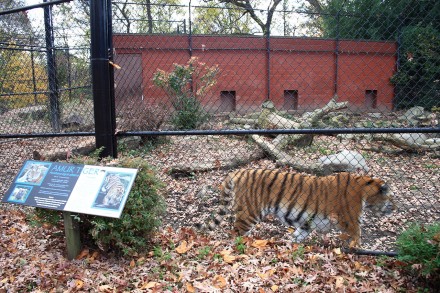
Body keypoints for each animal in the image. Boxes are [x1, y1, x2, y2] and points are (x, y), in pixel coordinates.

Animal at [199, 169, 392, 246]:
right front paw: (356, 250)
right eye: (391, 199)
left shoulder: (307, 223)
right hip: (249, 213)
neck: (364, 191)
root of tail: (240, 171)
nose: (394, 207)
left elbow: (298, 236)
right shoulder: (350, 220)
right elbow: (357, 236)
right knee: (235, 232)